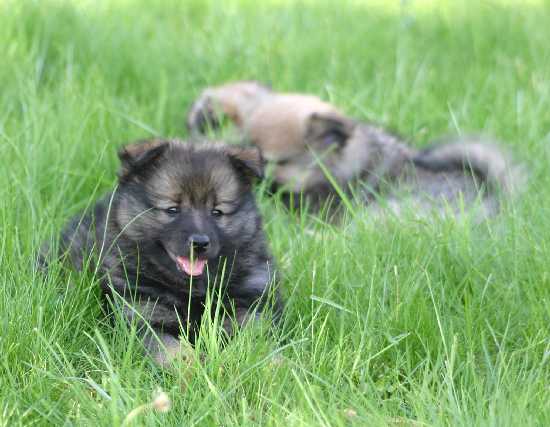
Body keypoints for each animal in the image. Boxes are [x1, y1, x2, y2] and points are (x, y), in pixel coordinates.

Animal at [45, 139, 283, 366]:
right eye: (172, 210)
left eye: (217, 212)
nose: (200, 243)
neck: (192, 290)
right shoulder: (144, 317)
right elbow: (176, 353)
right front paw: (193, 369)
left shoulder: (248, 310)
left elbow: (256, 345)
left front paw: (273, 366)